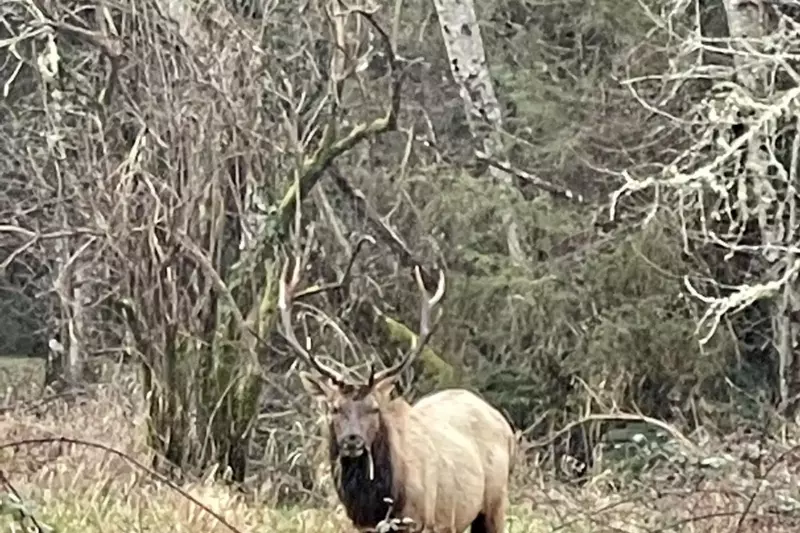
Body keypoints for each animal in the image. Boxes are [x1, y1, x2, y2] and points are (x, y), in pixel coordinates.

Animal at [278, 256, 517, 533]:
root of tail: (507, 428)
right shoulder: (362, 526)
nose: (352, 440)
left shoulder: (419, 520)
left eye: (374, 408)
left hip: (495, 501)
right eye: (334, 408)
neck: (377, 504)